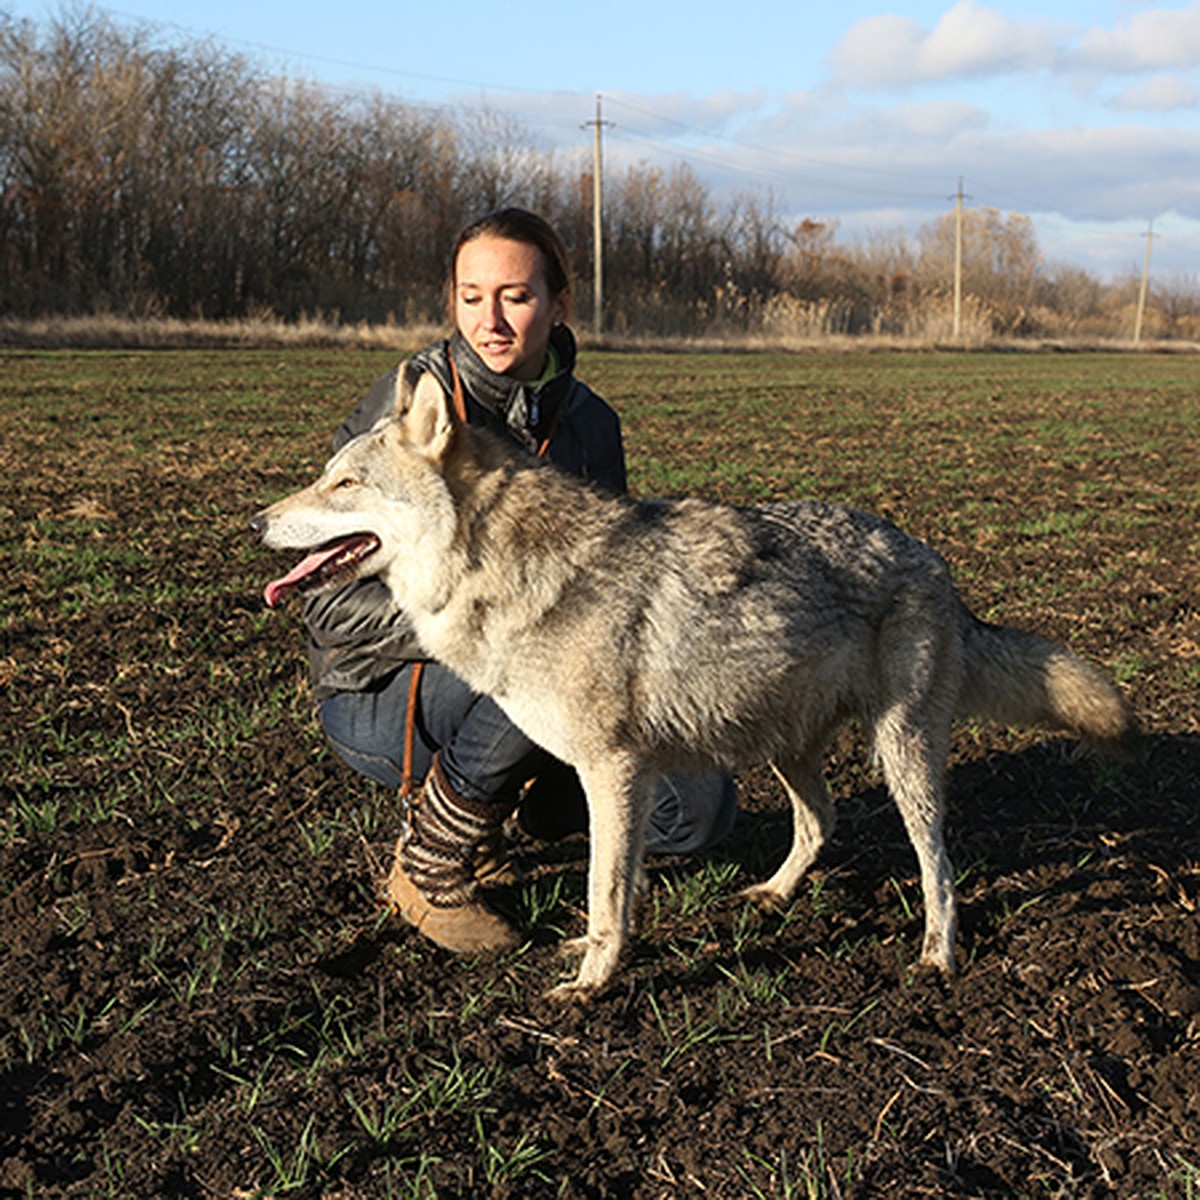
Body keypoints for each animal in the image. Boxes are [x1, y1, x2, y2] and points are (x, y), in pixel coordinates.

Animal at [250, 369, 1132, 998]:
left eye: (344, 485)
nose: (256, 522)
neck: (512, 568)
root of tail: (935, 560)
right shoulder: (616, 778)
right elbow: (617, 891)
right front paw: (593, 956)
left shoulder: (613, 772)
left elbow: (605, 890)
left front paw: (592, 987)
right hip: (784, 747)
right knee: (822, 821)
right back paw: (772, 896)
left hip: (902, 756)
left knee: (937, 864)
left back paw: (937, 958)